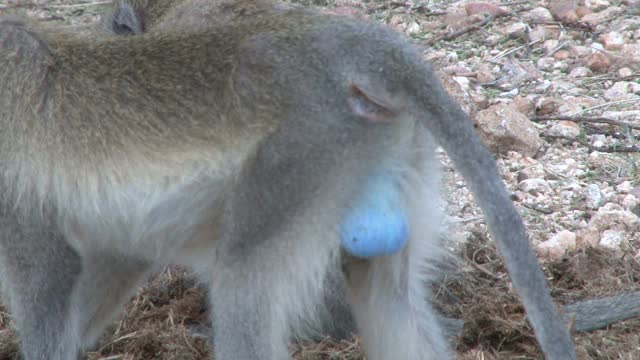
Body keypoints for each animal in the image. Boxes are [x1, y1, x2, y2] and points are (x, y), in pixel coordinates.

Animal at [0, 3, 576, 360]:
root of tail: (348, 45)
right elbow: (120, 253)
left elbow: (49, 275)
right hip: (375, 151)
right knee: (385, 295)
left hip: (302, 151)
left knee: (242, 275)